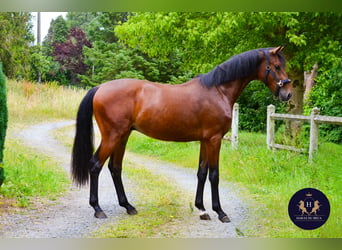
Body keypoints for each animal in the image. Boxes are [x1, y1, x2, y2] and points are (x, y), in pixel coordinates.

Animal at [71, 45, 292, 223]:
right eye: (276, 66)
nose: (288, 93)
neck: (218, 90)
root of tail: (100, 88)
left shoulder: (205, 140)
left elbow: (202, 173)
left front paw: (202, 209)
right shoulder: (214, 139)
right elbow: (214, 175)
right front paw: (220, 212)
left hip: (122, 136)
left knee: (115, 168)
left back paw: (128, 206)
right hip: (113, 136)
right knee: (95, 165)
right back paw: (98, 209)